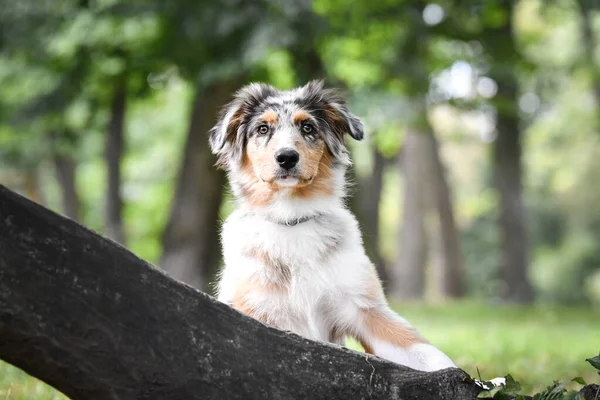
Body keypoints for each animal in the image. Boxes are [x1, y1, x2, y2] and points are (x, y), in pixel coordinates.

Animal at [210, 80, 454, 372]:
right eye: (262, 129)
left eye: (307, 127)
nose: (287, 157)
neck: (292, 221)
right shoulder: (255, 311)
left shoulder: (365, 309)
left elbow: (427, 352)